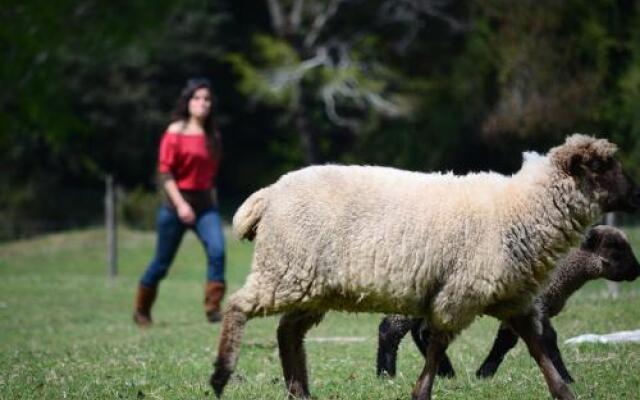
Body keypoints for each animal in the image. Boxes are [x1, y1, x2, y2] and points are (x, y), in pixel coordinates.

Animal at [376, 225, 640, 384]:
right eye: (617, 249)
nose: (637, 271)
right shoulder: (537, 304)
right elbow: (548, 340)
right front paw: (566, 378)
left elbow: (505, 341)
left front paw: (483, 373)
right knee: (391, 328)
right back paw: (386, 374)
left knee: (421, 332)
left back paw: (445, 372)